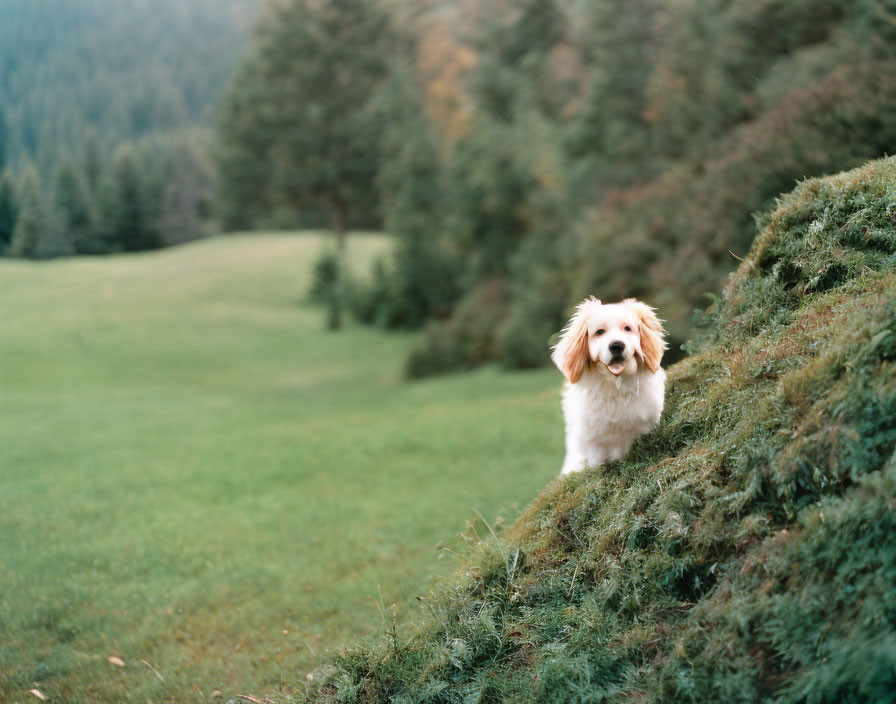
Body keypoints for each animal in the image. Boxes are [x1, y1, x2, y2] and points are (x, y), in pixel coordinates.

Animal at [548, 296, 668, 472]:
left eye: (627, 328)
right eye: (599, 332)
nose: (617, 346)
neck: (615, 387)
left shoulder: (646, 426)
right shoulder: (592, 445)